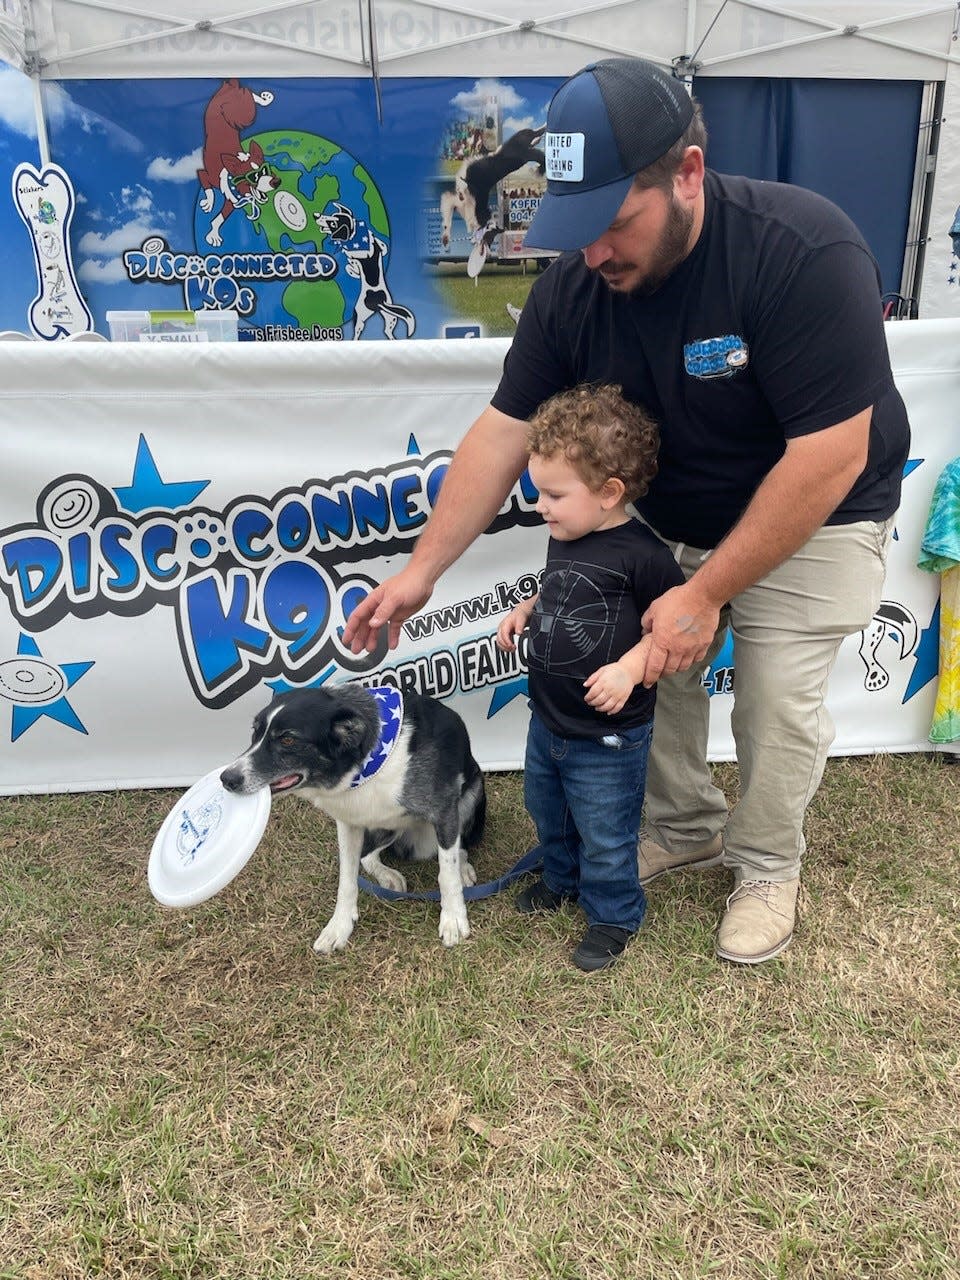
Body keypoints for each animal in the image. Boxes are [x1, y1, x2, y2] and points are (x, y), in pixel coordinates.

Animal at [197, 78, 280, 245]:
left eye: (266, 170)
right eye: (254, 176)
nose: (276, 182)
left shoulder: (233, 200)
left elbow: (219, 218)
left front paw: (213, 234)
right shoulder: (207, 176)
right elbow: (206, 185)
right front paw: (208, 204)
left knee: (248, 94)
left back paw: (265, 98)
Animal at [221, 691, 483, 952]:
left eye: (287, 740)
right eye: (255, 732)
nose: (226, 778)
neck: (371, 764)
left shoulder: (444, 810)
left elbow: (447, 871)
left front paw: (453, 918)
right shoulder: (349, 823)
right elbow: (347, 878)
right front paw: (339, 926)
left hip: (471, 795)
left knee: (457, 847)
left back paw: (462, 867)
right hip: (386, 826)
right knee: (368, 855)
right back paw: (387, 875)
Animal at [313, 202, 414, 340]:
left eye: (333, 223)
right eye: (332, 215)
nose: (316, 215)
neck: (355, 235)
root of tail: (379, 302)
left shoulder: (359, 254)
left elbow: (351, 262)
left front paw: (352, 269)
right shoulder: (381, 247)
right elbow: (383, 247)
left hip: (359, 315)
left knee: (357, 332)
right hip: (391, 316)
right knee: (388, 331)